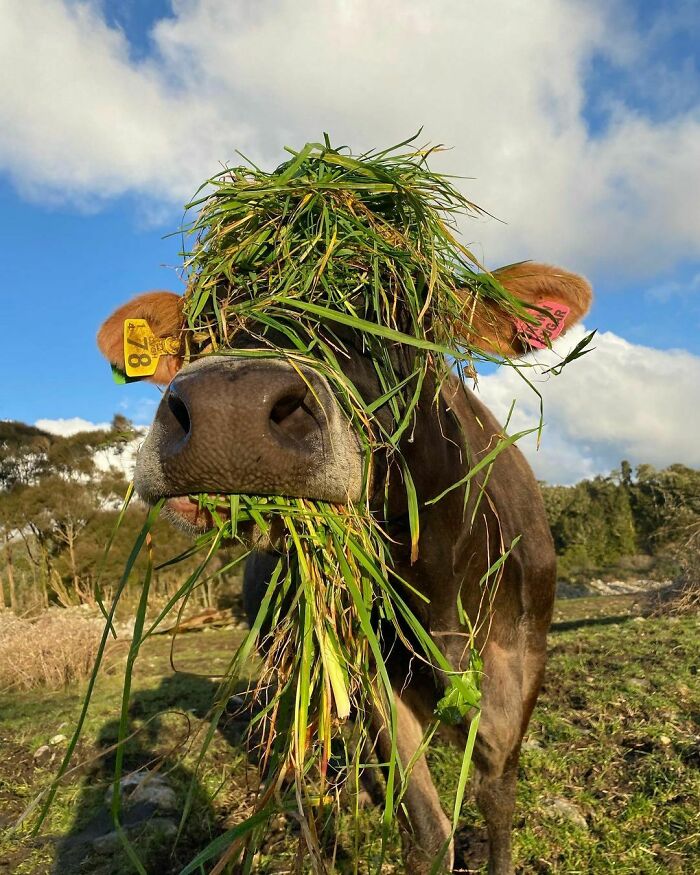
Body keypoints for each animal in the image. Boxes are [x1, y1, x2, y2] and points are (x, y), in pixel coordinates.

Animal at [97, 262, 592, 874]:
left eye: (402, 313)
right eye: (206, 325)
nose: (229, 412)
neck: (439, 592)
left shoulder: (520, 664)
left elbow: (497, 801)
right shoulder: (373, 675)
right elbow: (427, 828)